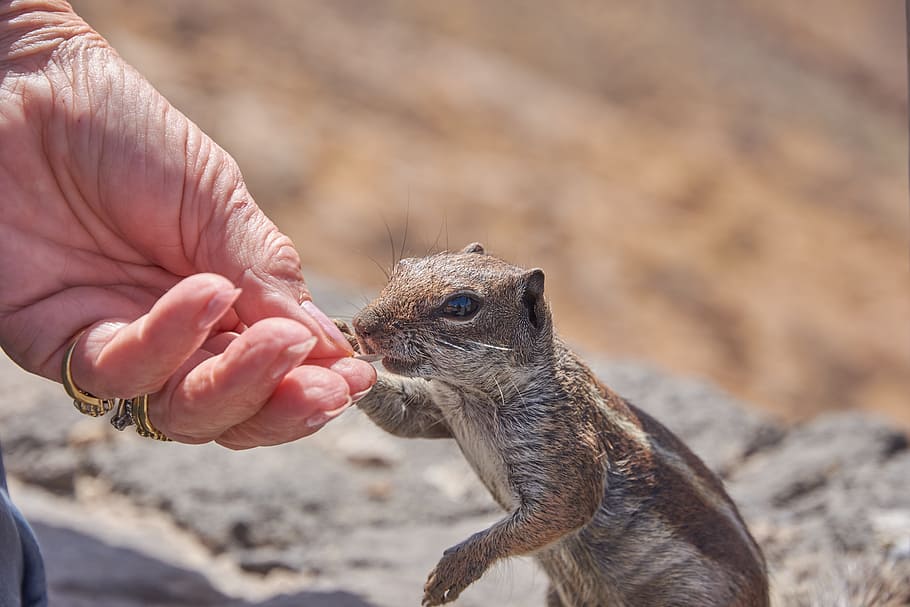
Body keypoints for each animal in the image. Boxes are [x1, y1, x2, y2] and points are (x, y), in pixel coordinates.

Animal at [341, 243, 769, 607]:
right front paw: (341, 347)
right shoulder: (437, 409)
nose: (363, 325)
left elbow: (564, 510)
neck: (471, 398)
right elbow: (403, 419)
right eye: (402, 266)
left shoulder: (567, 449)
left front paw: (453, 569)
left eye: (461, 305)